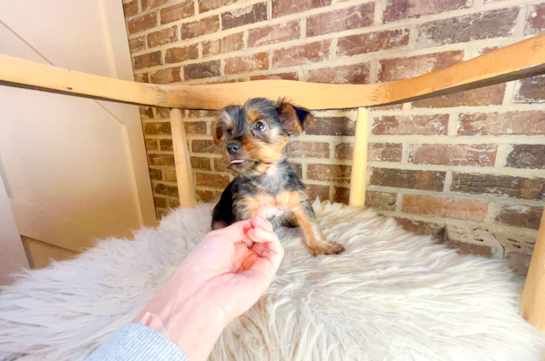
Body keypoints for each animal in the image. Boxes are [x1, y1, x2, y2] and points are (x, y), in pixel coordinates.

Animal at [211, 97, 344, 256]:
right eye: (229, 131)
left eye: (259, 125)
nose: (230, 147)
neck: (268, 174)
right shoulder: (245, 209)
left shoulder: (298, 200)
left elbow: (310, 224)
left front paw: (322, 246)